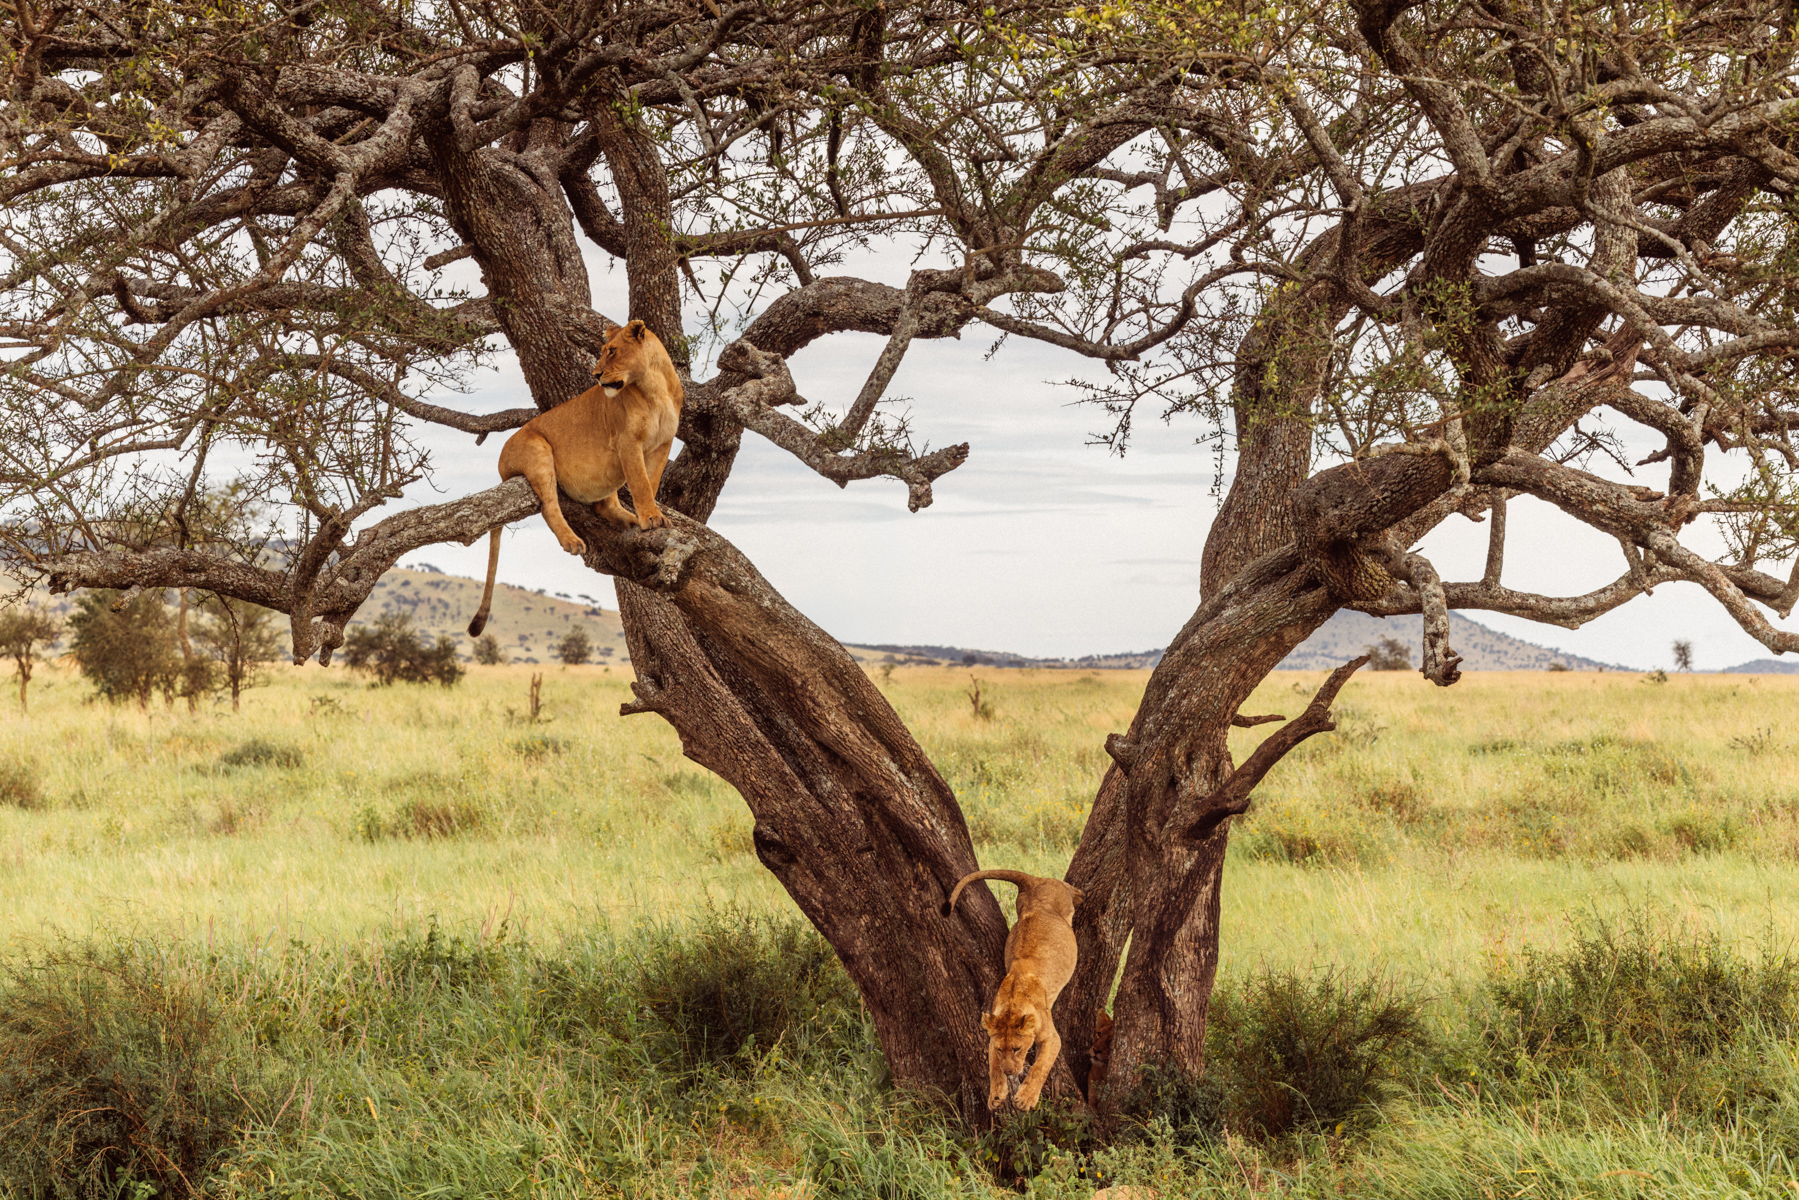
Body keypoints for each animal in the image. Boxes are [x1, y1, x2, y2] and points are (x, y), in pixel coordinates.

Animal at [468, 320, 683, 637]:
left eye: (612, 351)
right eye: (602, 352)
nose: (596, 375)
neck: (653, 386)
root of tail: (501, 457)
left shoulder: (661, 444)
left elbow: (651, 483)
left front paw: (649, 517)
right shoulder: (627, 442)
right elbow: (641, 483)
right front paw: (651, 519)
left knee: (604, 505)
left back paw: (629, 519)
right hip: (538, 449)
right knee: (549, 506)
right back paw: (572, 540)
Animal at [944, 868, 1082, 1111]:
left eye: (1017, 1049)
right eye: (1001, 1050)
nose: (1009, 1071)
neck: (1013, 1001)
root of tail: (1034, 881)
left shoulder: (1052, 1038)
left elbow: (1039, 1067)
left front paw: (1025, 1098)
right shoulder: (991, 1038)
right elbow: (992, 1068)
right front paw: (996, 1095)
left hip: (1065, 902)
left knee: (1071, 893)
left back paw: (1080, 894)